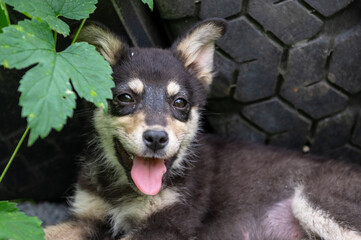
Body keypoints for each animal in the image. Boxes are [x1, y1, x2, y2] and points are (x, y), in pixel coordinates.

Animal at [44, 18, 360, 240]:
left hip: (321, 203)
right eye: (125, 98)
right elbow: (43, 230)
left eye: (180, 102)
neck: (123, 192)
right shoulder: (86, 217)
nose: (156, 138)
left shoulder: (169, 223)